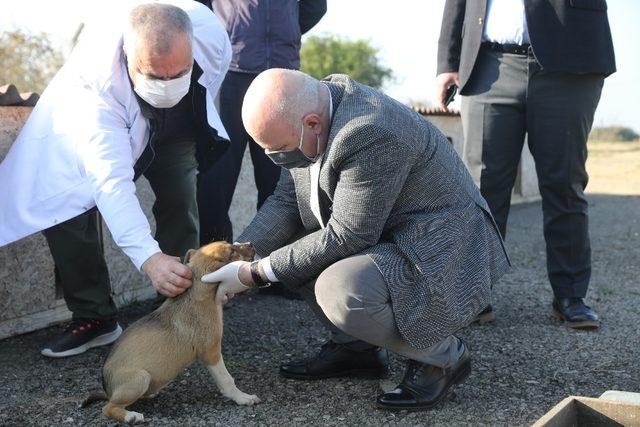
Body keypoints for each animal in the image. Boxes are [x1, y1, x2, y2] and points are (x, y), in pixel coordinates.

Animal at [98, 242, 258, 422]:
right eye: (231, 251)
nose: (251, 243)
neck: (199, 291)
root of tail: (108, 390)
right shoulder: (211, 352)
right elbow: (226, 379)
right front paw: (242, 397)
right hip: (140, 378)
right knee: (108, 408)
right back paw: (130, 416)